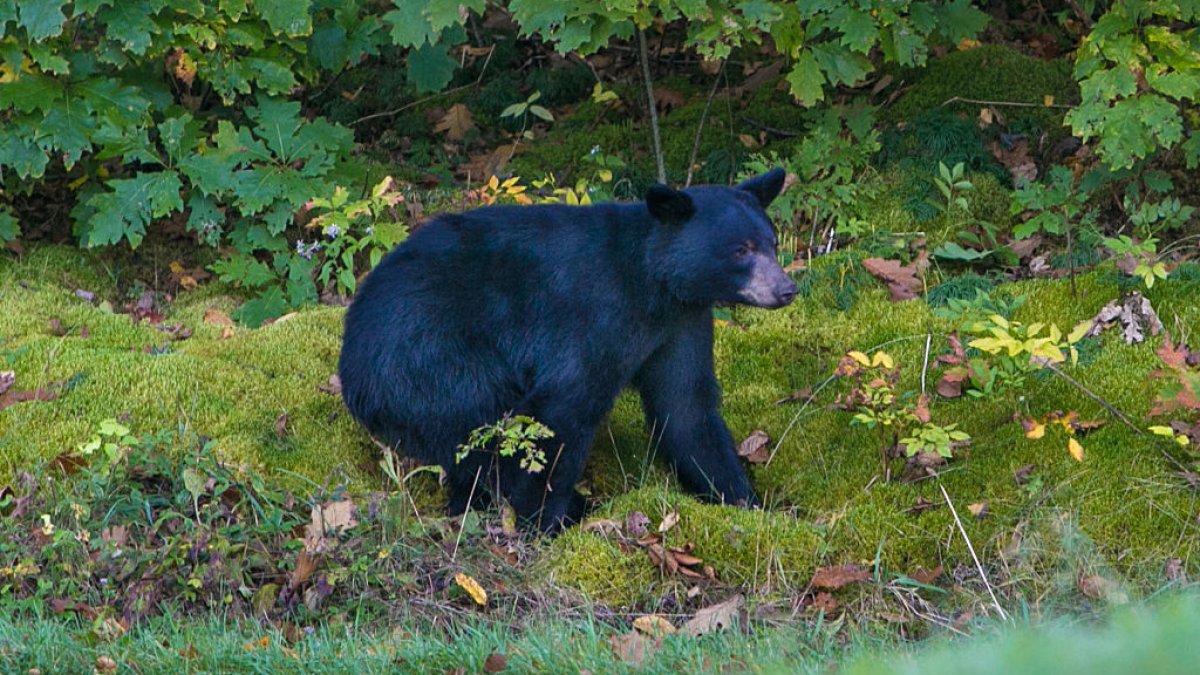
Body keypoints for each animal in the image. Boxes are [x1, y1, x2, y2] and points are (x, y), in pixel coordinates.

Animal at [338, 169, 797, 533]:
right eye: (741, 249)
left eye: (772, 242)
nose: (786, 288)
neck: (653, 285)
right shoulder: (594, 317)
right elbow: (564, 409)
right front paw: (544, 517)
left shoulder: (682, 324)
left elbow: (686, 405)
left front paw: (743, 499)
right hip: (431, 363)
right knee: (478, 425)